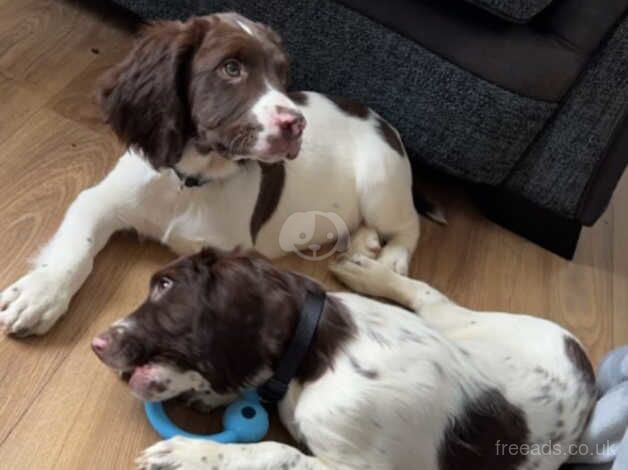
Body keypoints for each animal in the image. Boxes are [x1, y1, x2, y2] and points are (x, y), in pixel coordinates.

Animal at [0, 12, 434, 336]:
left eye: (282, 76)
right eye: (231, 68)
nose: (297, 124)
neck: (188, 181)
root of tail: (381, 121)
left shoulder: (233, 250)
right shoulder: (98, 200)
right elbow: (75, 249)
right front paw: (39, 295)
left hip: (381, 182)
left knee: (409, 224)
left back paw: (391, 260)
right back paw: (364, 244)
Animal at [91, 248, 596, 468]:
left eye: (165, 286)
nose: (95, 344)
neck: (314, 354)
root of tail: (584, 362)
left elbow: (276, 451)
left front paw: (190, 452)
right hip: (460, 324)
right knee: (427, 294)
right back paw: (367, 271)